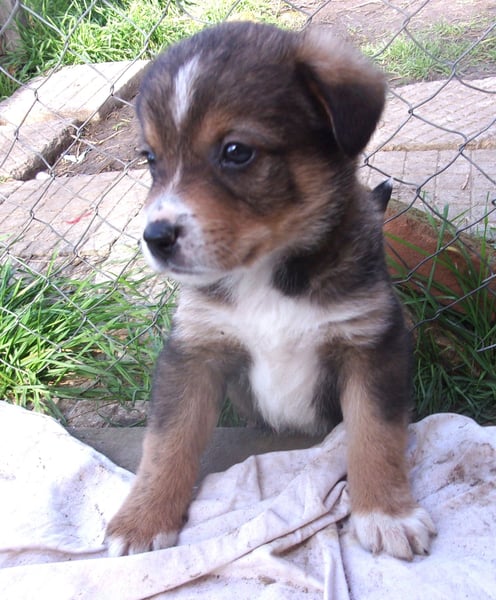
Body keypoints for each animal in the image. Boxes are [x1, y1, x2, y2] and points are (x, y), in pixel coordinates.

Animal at [106, 21, 436, 560]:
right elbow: (166, 440)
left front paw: (387, 515)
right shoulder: (194, 350)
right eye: (151, 159)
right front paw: (143, 519)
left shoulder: (373, 344)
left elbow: (375, 433)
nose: (155, 238)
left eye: (236, 151)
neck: (266, 275)